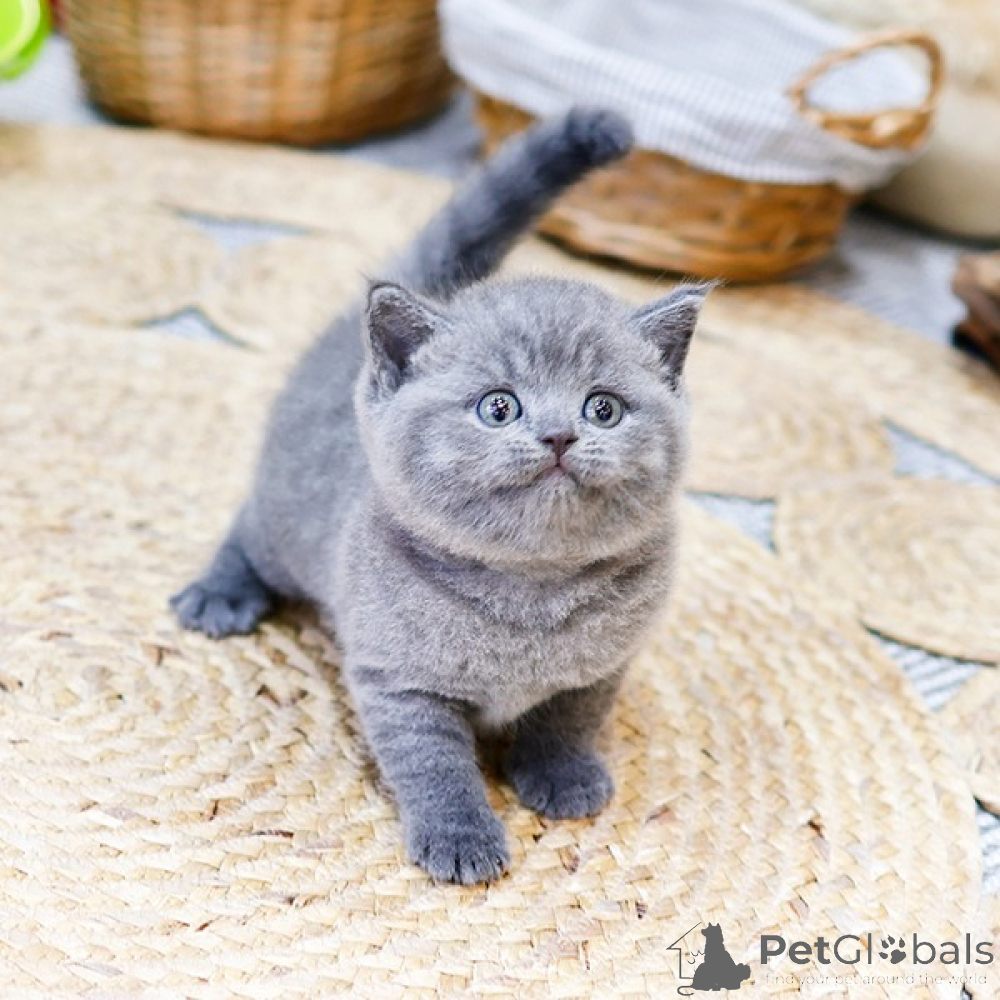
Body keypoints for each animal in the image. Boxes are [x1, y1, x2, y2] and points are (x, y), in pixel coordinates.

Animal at [172, 108, 710, 884]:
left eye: (603, 409)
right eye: (498, 407)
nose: (558, 435)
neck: (530, 597)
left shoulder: (601, 668)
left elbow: (568, 722)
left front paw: (563, 776)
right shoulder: (399, 680)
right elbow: (435, 766)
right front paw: (461, 838)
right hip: (287, 520)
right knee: (249, 529)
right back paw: (219, 594)